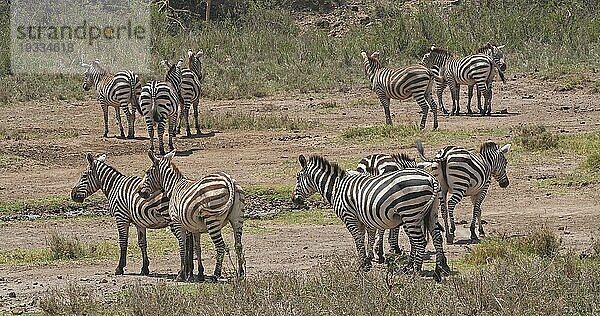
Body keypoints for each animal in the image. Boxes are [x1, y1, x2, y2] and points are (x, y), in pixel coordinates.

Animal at [139, 151, 246, 282]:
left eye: (147, 172)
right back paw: (240, 274)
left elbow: (182, 247)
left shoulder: (177, 223)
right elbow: (197, 248)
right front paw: (199, 274)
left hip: (212, 220)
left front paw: (181, 274)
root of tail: (228, 179)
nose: (140, 192)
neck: (174, 187)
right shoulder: (195, 228)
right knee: (238, 245)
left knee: (220, 246)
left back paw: (216, 274)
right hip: (237, 219)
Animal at [292, 154, 448, 280]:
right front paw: (367, 260)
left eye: (298, 177)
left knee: (420, 242)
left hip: (410, 213)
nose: (294, 200)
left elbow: (358, 239)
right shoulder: (362, 219)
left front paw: (362, 265)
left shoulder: (349, 217)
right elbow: (366, 238)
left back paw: (415, 271)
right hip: (430, 213)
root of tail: (431, 179)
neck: (337, 188)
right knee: (436, 238)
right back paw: (437, 271)